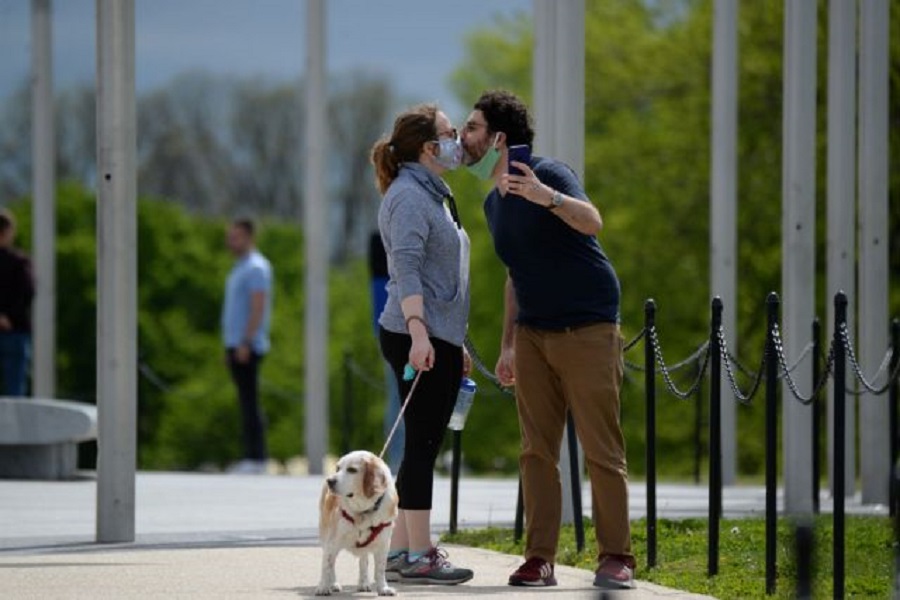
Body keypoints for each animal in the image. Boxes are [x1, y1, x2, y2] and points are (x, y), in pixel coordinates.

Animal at [318, 450, 400, 596]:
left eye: (352, 470)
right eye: (338, 468)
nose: (330, 481)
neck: (363, 511)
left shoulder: (383, 544)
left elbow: (380, 569)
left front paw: (383, 588)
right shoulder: (332, 542)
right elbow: (326, 566)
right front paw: (323, 587)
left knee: (363, 561)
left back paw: (363, 583)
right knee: (332, 563)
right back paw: (333, 584)